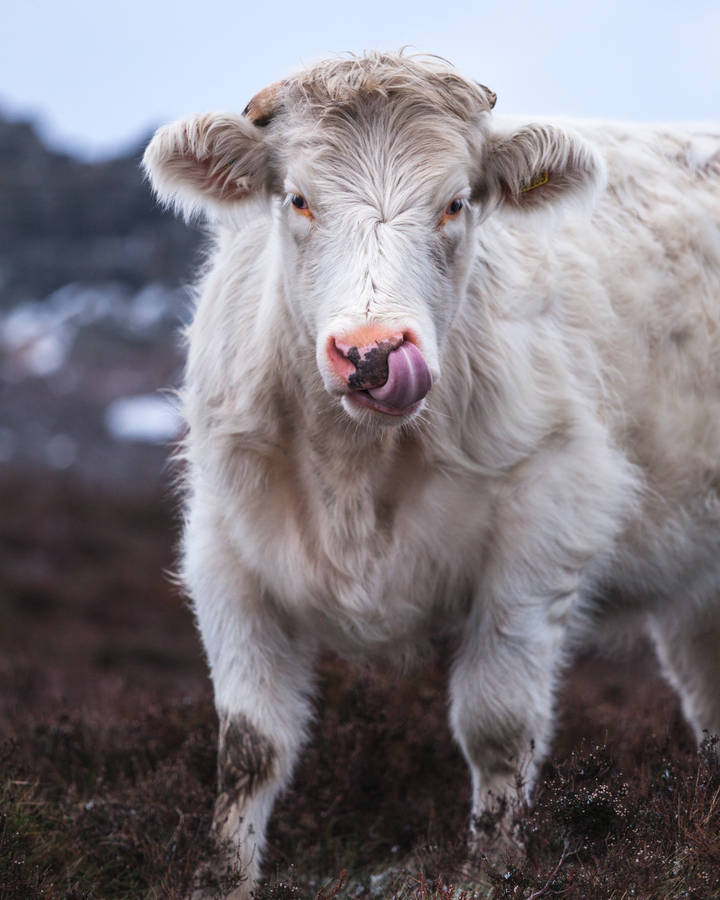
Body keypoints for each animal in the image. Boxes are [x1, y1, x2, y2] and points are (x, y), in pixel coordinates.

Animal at [143, 51, 720, 898]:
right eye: (299, 198)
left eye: (455, 203)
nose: (372, 352)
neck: (354, 472)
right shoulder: (225, 553)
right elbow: (251, 745)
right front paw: (224, 879)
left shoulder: (543, 533)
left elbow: (498, 729)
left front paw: (491, 870)